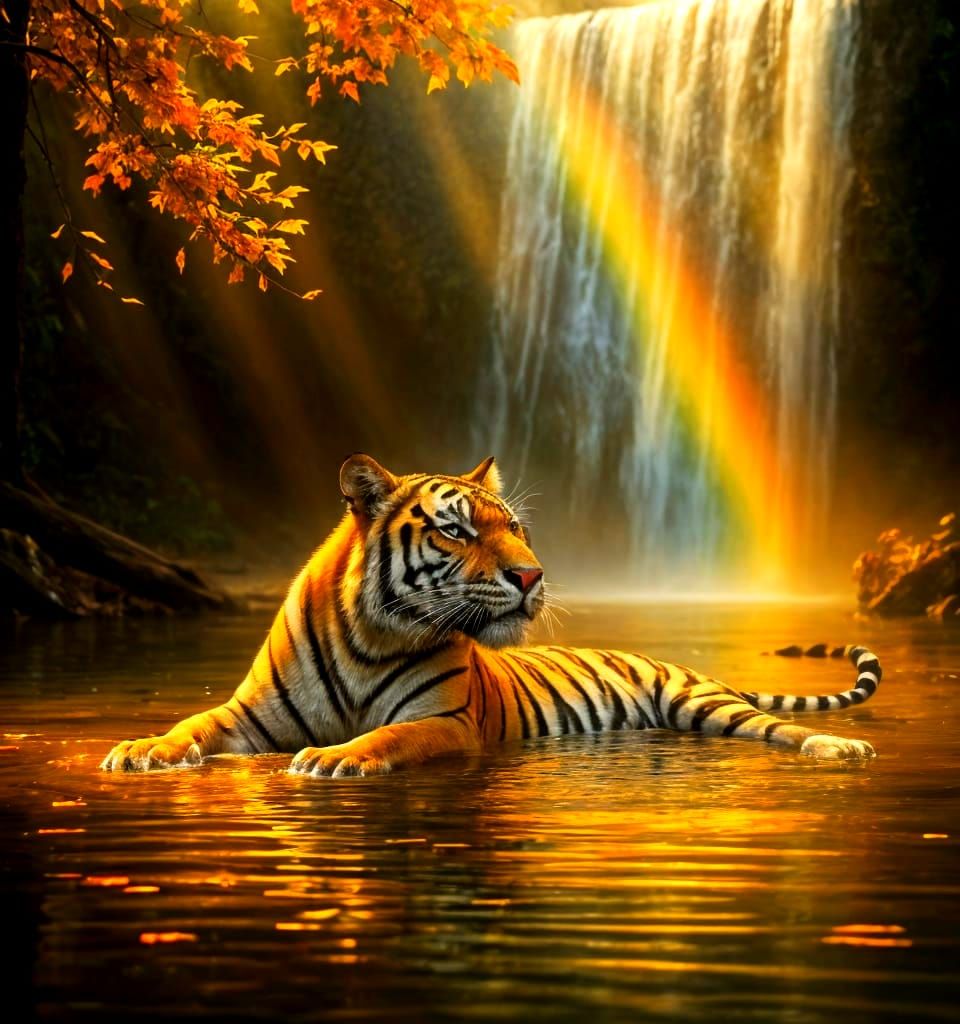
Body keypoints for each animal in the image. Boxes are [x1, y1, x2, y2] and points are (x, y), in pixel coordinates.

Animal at [101, 455, 881, 775]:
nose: (532, 575)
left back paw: (839, 749)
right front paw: (138, 749)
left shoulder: (446, 722)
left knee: (782, 729)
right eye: (456, 530)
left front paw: (333, 757)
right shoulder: (248, 717)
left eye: (517, 529)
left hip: (707, 706)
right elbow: (189, 723)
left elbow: (387, 737)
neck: (366, 639)